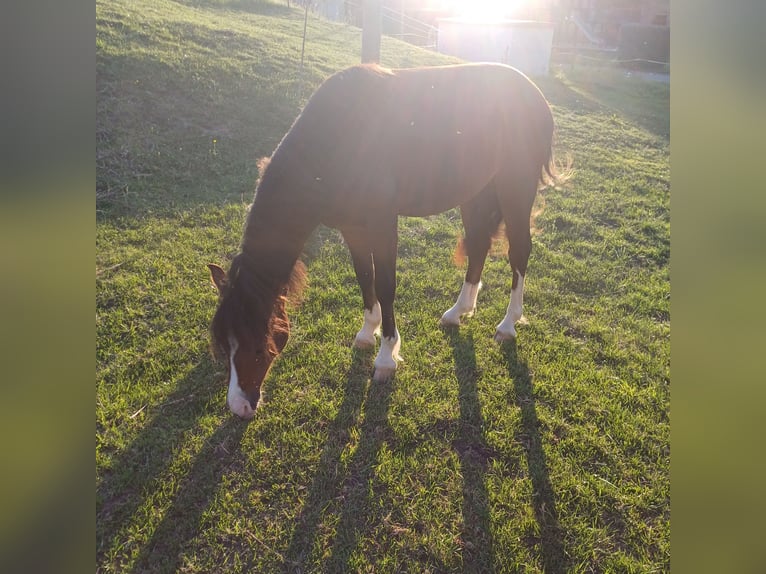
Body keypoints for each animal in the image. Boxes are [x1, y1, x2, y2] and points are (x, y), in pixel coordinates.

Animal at [210, 63, 564, 420]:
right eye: (224, 346)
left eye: (258, 347)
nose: (239, 406)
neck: (337, 137)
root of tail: (535, 95)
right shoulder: (351, 228)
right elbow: (364, 277)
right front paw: (368, 333)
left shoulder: (382, 223)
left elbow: (385, 285)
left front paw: (386, 357)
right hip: (476, 193)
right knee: (479, 245)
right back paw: (457, 312)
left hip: (515, 188)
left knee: (519, 251)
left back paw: (507, 324)